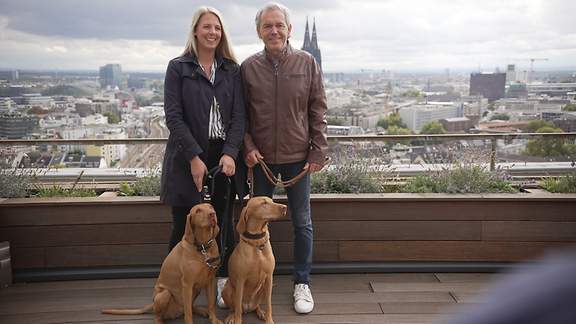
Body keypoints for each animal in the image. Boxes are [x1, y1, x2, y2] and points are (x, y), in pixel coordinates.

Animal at [224, 196, 290, 324]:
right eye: (264, 203)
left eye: (272, 201)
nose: (284, 207)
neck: (257, 243)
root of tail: (247, 307)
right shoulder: (240, 280)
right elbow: (237, 307)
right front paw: (237, 319)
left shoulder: (269, 278)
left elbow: (269, 305)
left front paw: (269, 320)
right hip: (227, 289)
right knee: (234, 308)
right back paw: (231, 316)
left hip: (264, 288)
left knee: (257, 306)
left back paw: (260, 312)